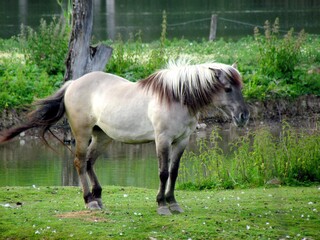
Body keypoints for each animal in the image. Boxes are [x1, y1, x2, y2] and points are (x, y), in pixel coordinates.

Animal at [0, 60, 249, 216]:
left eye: (240, 86)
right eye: (227, 88)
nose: (244, 116)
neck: (175, 97)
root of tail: (72, 84)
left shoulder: (182, 140)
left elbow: (174, 172)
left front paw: (173, 203)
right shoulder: (162, 140)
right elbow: (163, 173)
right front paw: (162, 205)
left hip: (102, 137)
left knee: (89, 162)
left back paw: (99, 198)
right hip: (82, 134)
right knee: (80, 162)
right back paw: (89, 201)